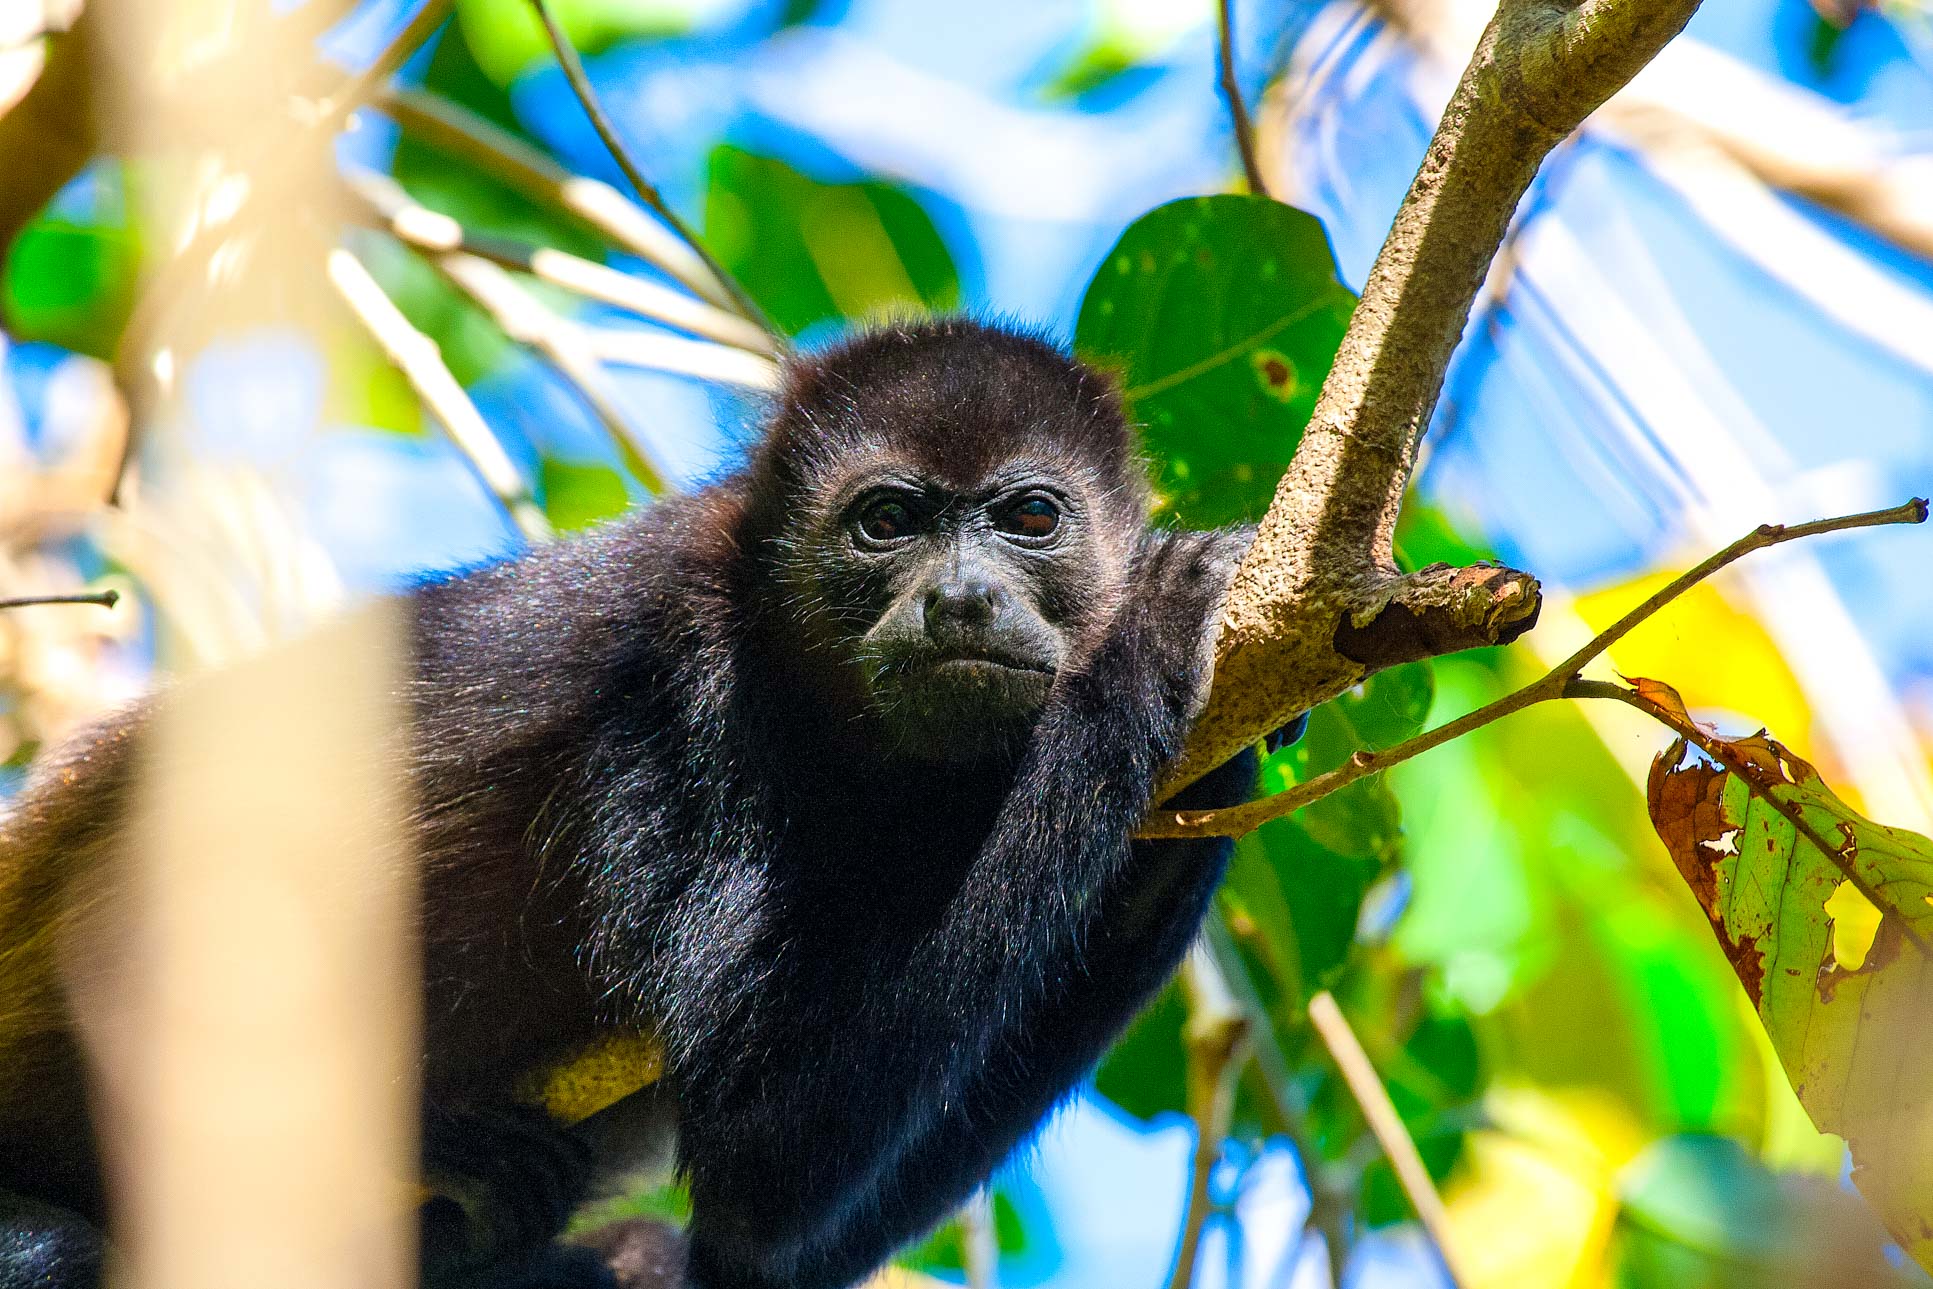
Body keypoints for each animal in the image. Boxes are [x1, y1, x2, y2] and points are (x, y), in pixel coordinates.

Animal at [0, 318, 1296, 1289]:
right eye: (887, 521)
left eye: (1029, 517)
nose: (965, 599)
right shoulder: (676, 697)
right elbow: (767, 1162)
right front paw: (1155, 629)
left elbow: (751, 1253)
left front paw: (1222, 749)